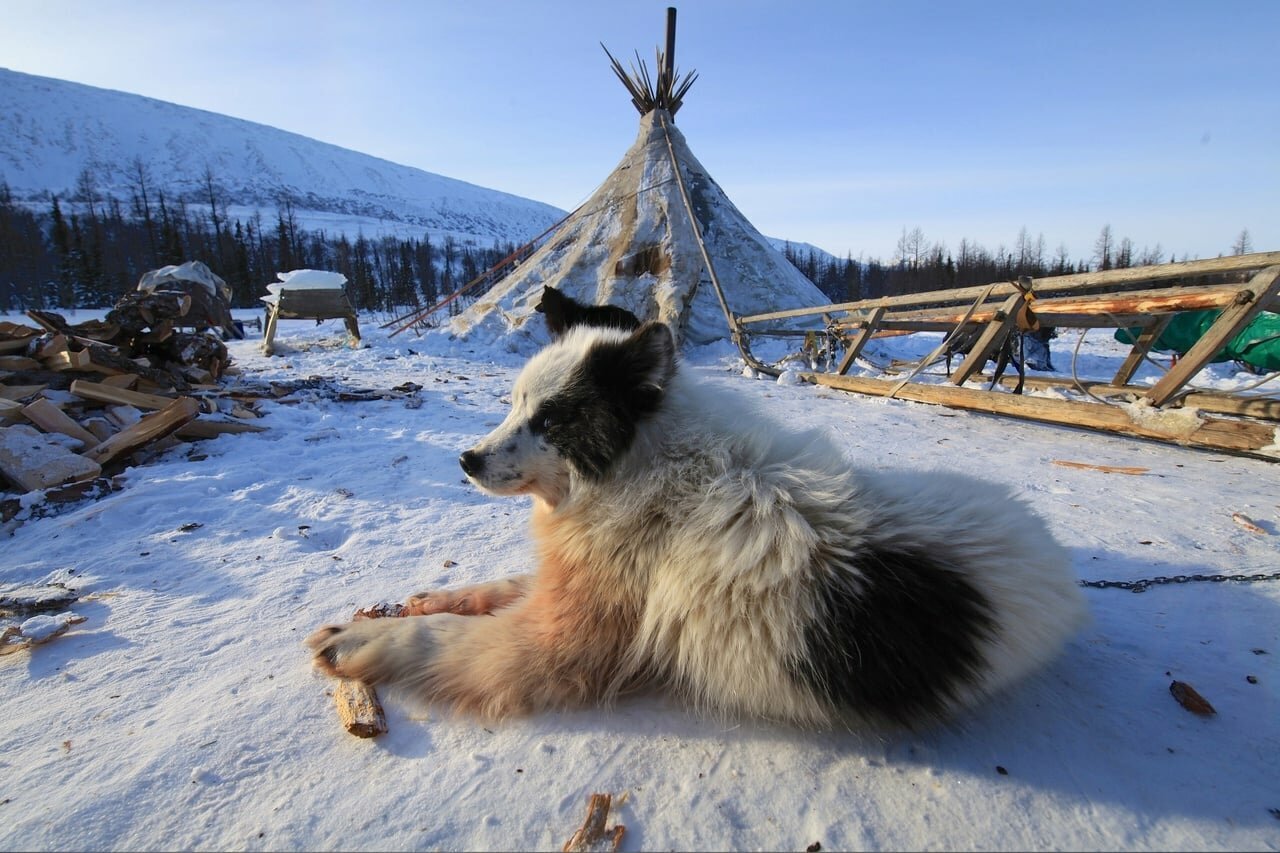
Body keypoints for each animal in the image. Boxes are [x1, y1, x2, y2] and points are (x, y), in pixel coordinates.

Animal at [307, 322, 1080, 727]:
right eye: (514, 405)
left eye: (550, 419)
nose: (465, 459)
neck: (651, 473)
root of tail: (1057, 561)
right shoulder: (572, 582)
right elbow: (498, 587)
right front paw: (430, 597)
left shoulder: (561, 642)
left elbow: (442, 640)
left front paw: (364, 640)